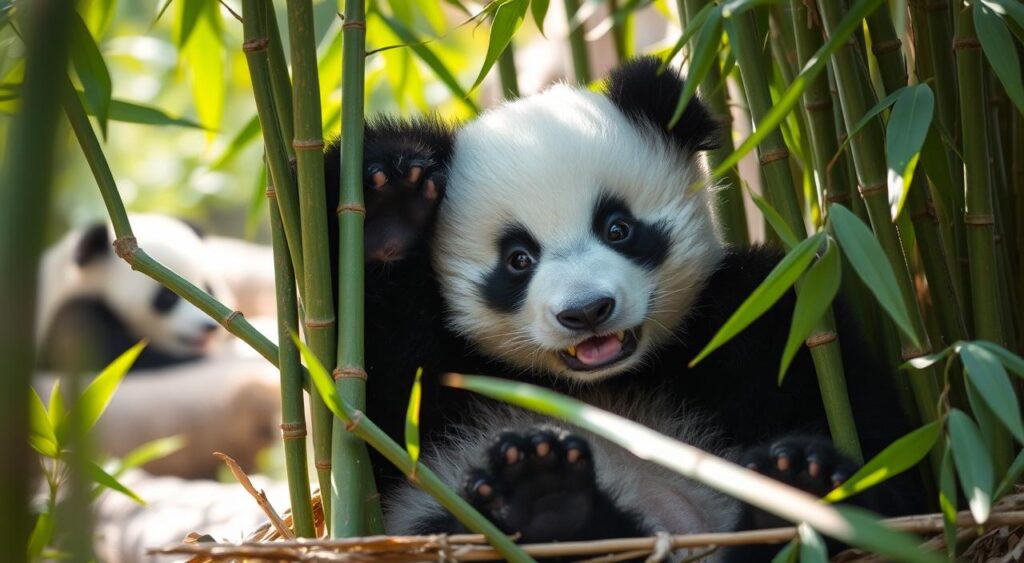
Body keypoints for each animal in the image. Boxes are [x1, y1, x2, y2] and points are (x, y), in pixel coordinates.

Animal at [323, 58, 917, 556]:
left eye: (618, 228)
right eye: (518, 259)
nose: (587, 311)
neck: (600, 385)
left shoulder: (753, 318)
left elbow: (887, 457)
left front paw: (816, 469)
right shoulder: (435, 382)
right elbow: (367, 406)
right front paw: (389, 206)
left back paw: (793, 486)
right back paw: (548, 499)